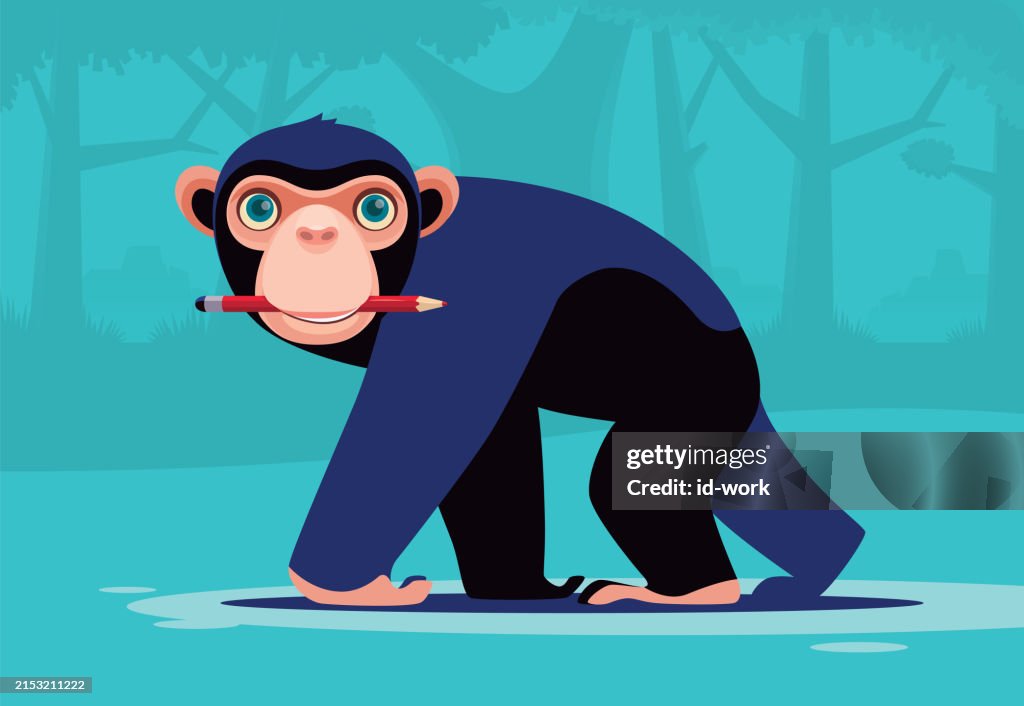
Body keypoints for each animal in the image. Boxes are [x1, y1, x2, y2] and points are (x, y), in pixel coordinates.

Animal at [175, 116, 864, 607]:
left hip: (693, 375)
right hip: (721, 396)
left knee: (629, 475)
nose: (315, 237)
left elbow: (414, 439)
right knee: (737, 474)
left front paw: (348, 590)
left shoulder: (469, 302)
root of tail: (740, 346)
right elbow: (487, 451)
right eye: (260, 209)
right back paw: (818, 572)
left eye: (374, 209)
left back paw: (692, 595)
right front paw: (517, 589)